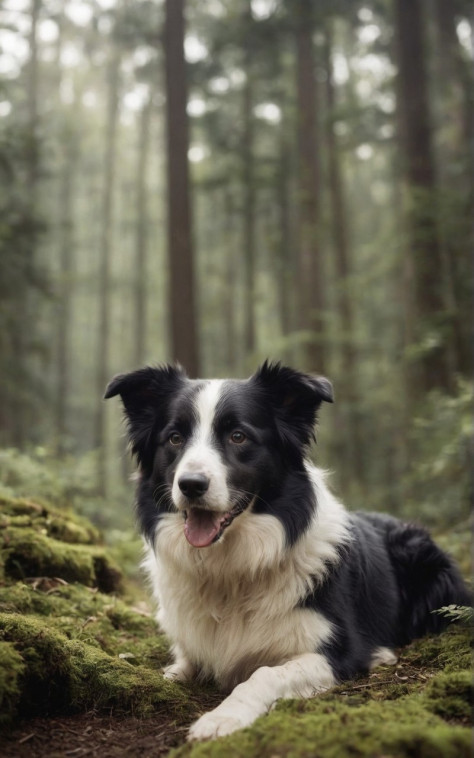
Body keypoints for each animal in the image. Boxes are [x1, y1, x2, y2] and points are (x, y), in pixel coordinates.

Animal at [104, 362, 470, 744]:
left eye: (239, 436)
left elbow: (264, 673)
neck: (229, 569)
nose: (190, 485)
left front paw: (223, 717)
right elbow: (180, 665)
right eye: (175, 438)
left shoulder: (335, 650)